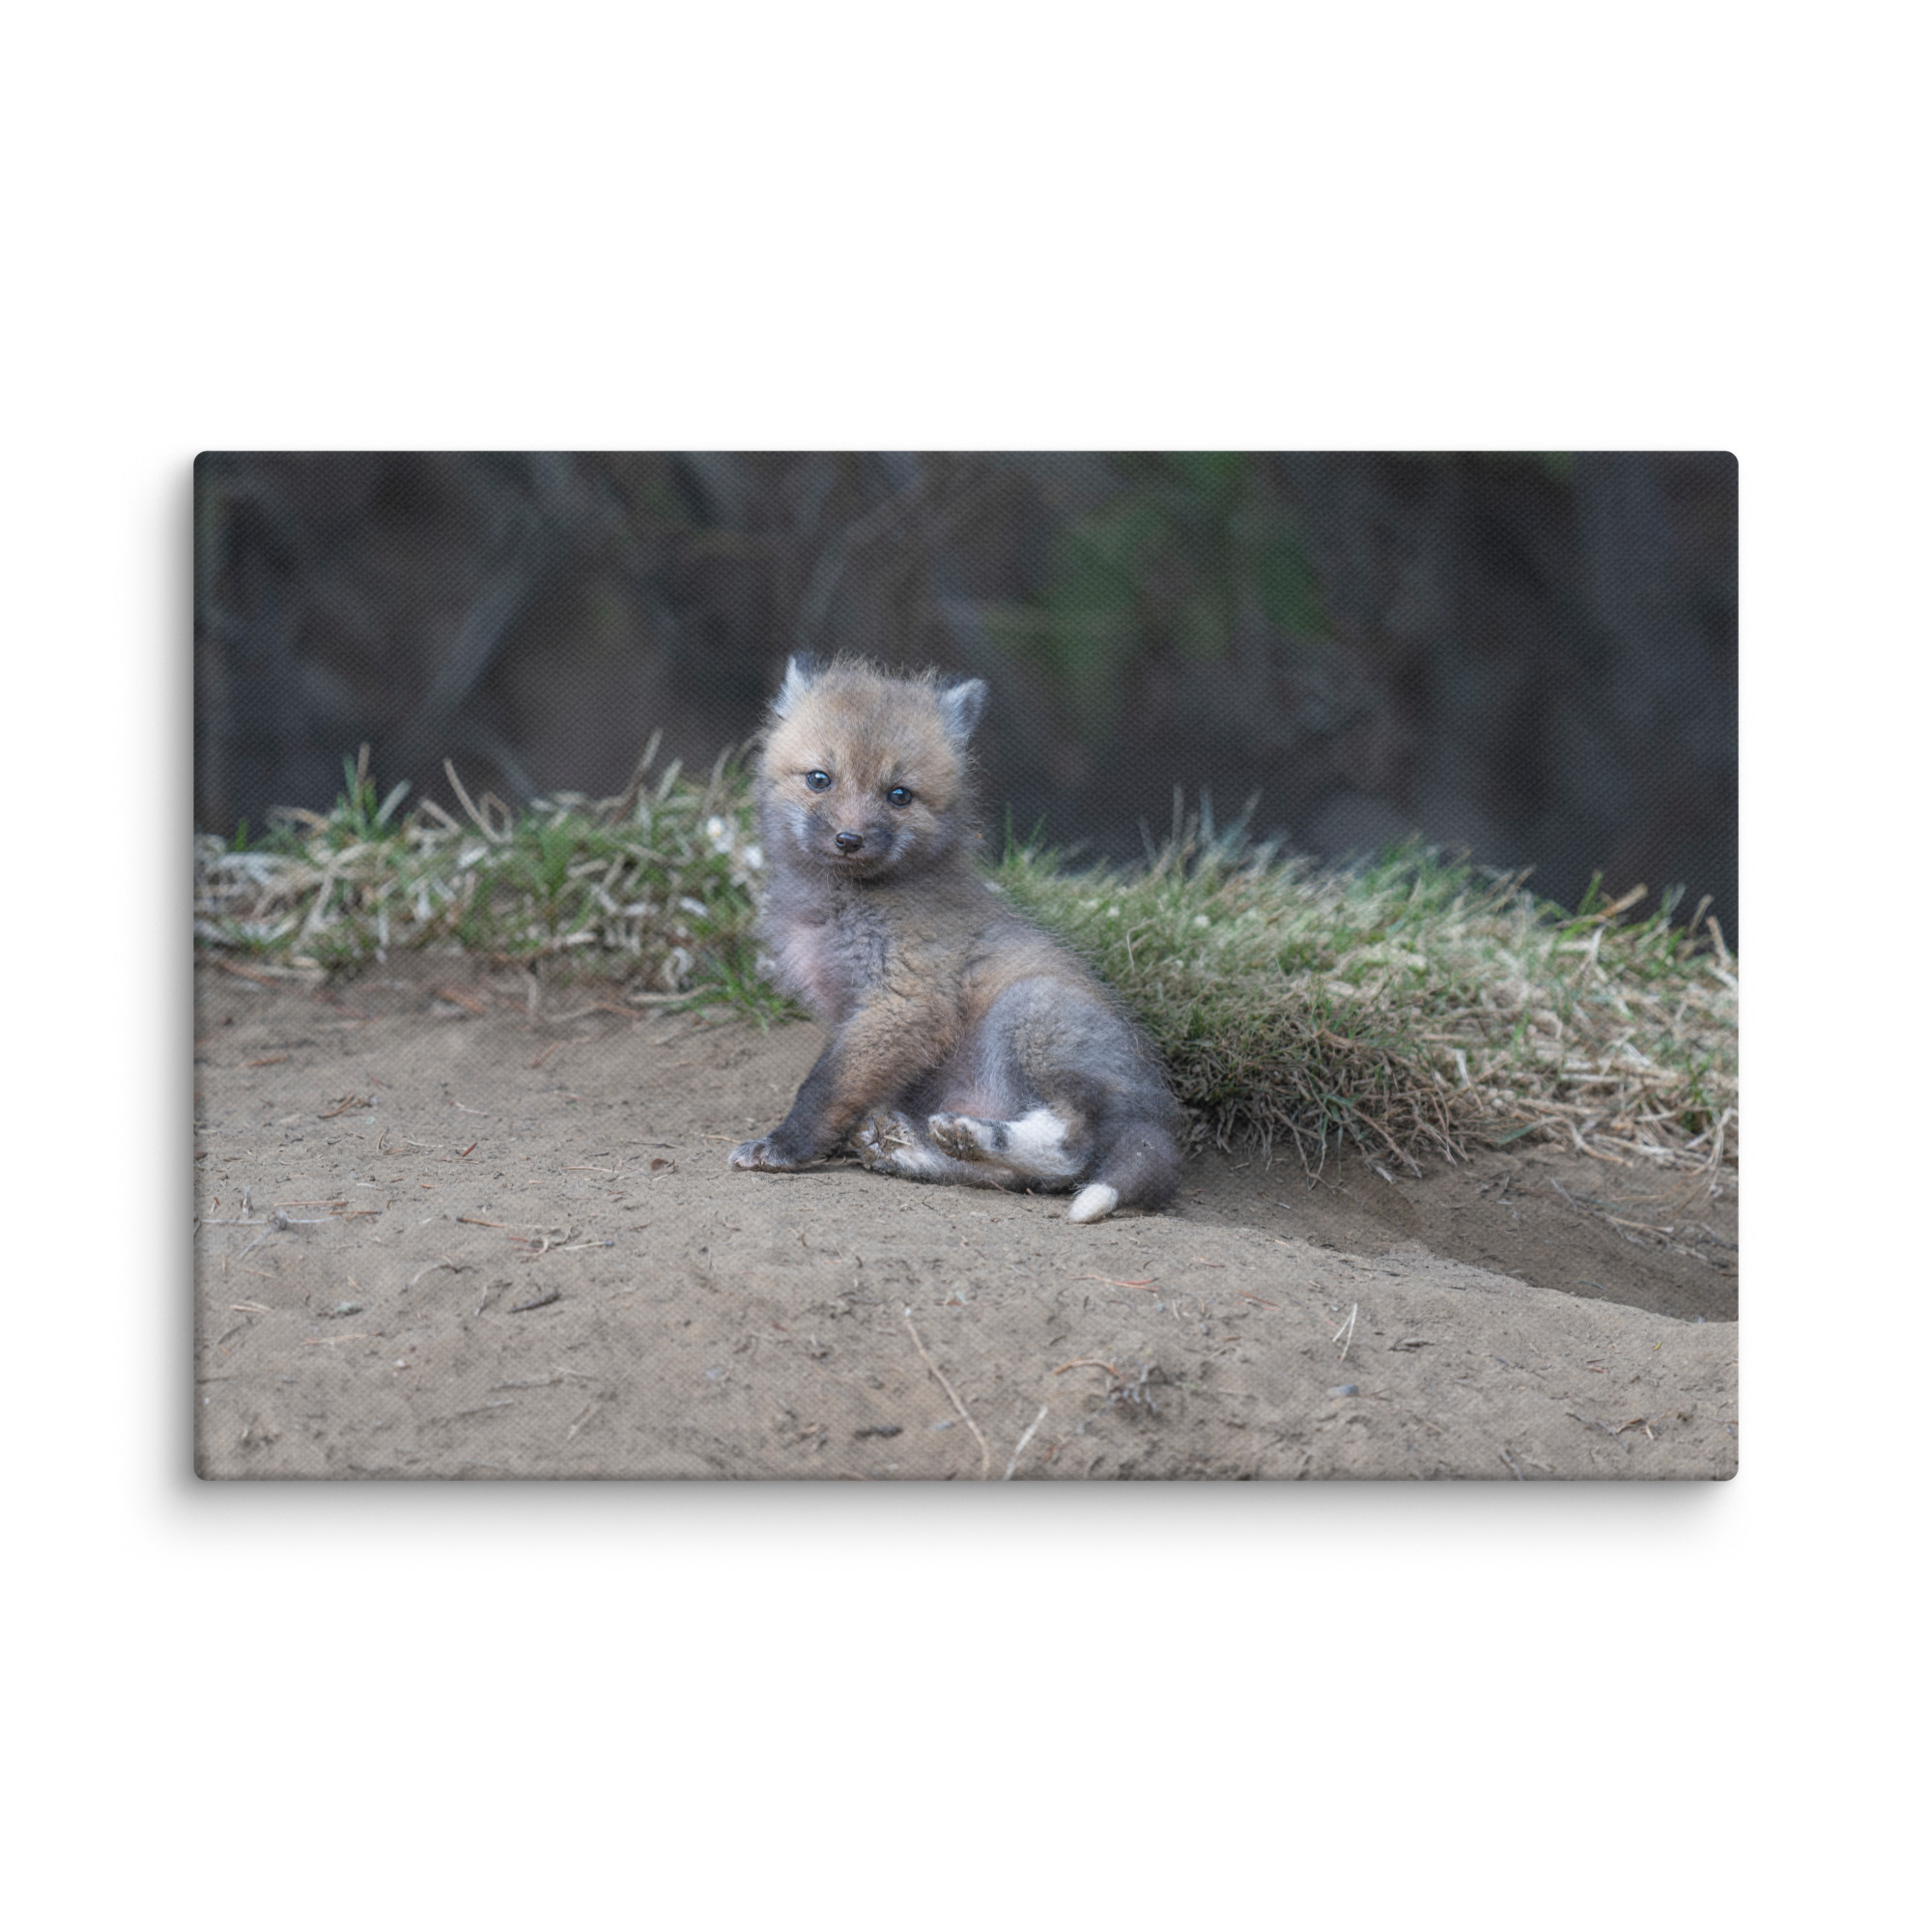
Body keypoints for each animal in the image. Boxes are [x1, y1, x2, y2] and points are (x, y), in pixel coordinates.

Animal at [728, 656, 1183, 1223]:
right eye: (819, 779)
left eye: (899, 795)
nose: (848, 840)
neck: (841, 905)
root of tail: (1156, 1113)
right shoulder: (858, 1015)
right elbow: (848, 1087)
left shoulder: (906, 1001)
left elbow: (825, 1086)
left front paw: (786, 1146)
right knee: (1017, 1178)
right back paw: (913, 1147)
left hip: (1028, 1012)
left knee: (1071, 1149)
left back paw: (971, 1135)